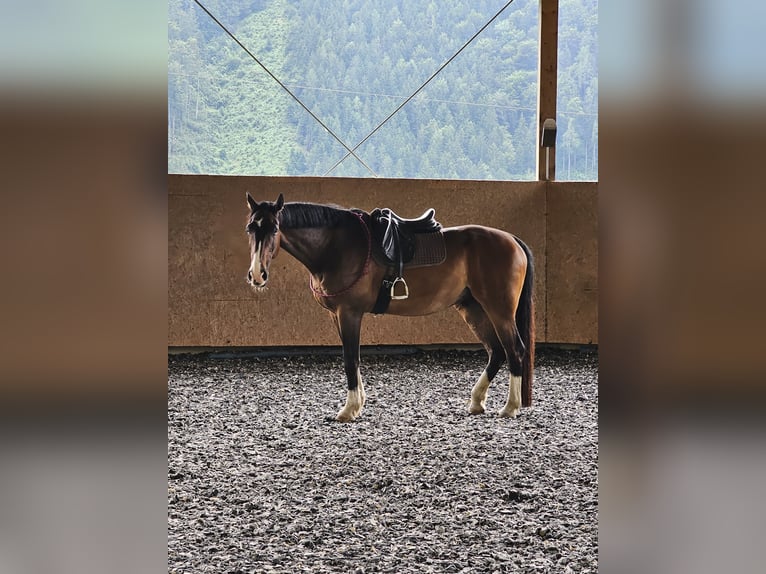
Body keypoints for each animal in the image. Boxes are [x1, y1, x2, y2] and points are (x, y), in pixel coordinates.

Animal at [246, 194, 536, 424]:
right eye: (251, 228)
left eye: (274, 228)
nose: (257, 275)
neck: (336, 247)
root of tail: (512, 240)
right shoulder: (336, 315)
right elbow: (353, 358)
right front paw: (358, 404)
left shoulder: (349, 313)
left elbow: (351, 359)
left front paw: (348, 410)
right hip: (473, 308)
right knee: (496, 351)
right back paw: (476, 402)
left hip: (499, 310)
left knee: (514, 350)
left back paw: (510, 407)